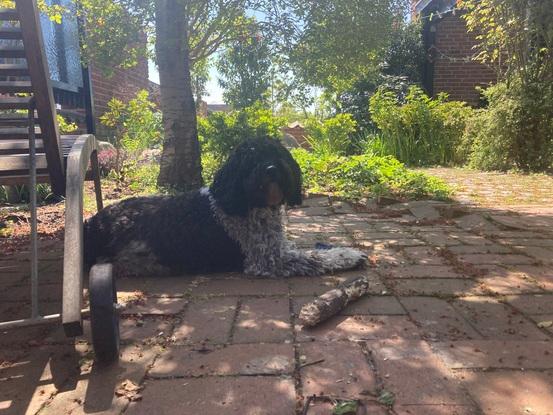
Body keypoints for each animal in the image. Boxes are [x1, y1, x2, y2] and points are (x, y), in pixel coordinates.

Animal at [85, 138, 366, 278]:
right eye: (250, 160)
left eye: (276, 154)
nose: (271, 169)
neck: (244, 202)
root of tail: (95, 223)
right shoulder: (267, 259)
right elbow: (316, 257)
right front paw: (348, 254)